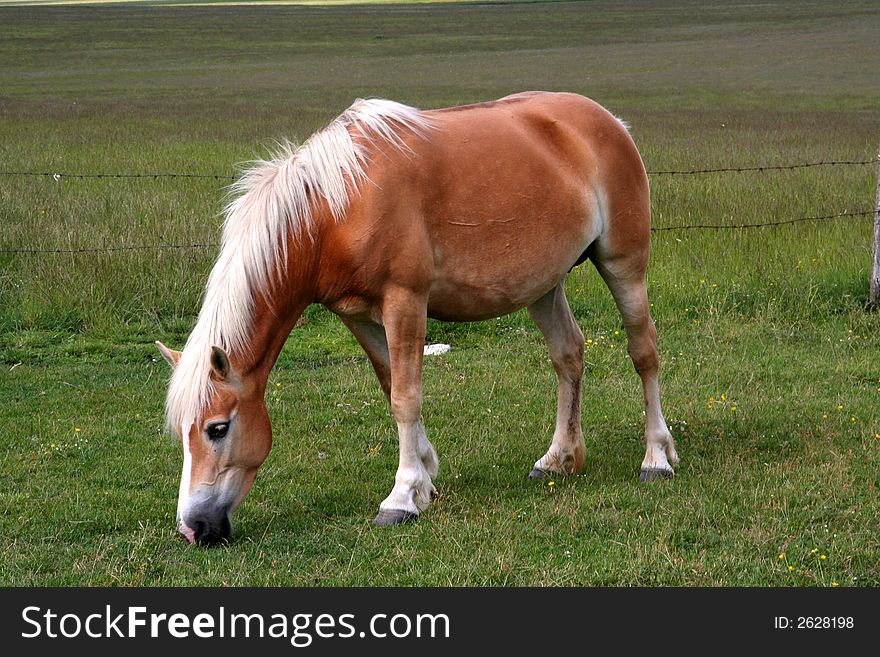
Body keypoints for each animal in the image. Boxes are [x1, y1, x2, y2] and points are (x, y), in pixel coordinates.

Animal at [155, 91, 676, 544]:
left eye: (217, 428)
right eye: (181, 433)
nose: (192, 529)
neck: (336, 206)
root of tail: (608, 121)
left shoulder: (405, 302)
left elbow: (406, 397)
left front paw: (402, 496)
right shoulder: (359, 316)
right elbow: (392, 387)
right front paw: (425, 474)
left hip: (624, 264)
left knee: (644, 352)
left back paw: (656, 457)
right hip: (543, 285)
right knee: (568, 355)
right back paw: (558, 458)